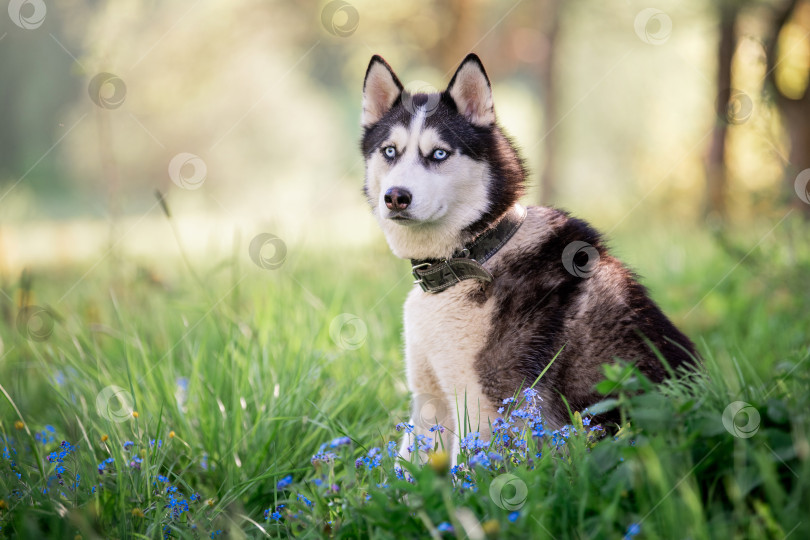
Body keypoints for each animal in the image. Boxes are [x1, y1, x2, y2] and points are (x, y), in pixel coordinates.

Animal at [358, 52, 696, 462]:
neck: (473, 255)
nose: (396, 196)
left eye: (439, 153)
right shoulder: (429, 400)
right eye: (390, 151)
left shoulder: (483, 407)